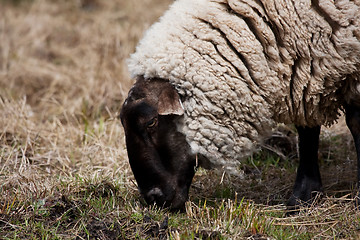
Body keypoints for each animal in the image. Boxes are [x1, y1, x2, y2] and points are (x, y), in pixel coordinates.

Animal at [121, 0, 360, 210]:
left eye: (151, 122)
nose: (153, 198)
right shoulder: (306, 75)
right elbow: (307, 132)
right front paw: (303, 197)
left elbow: (354, 124)